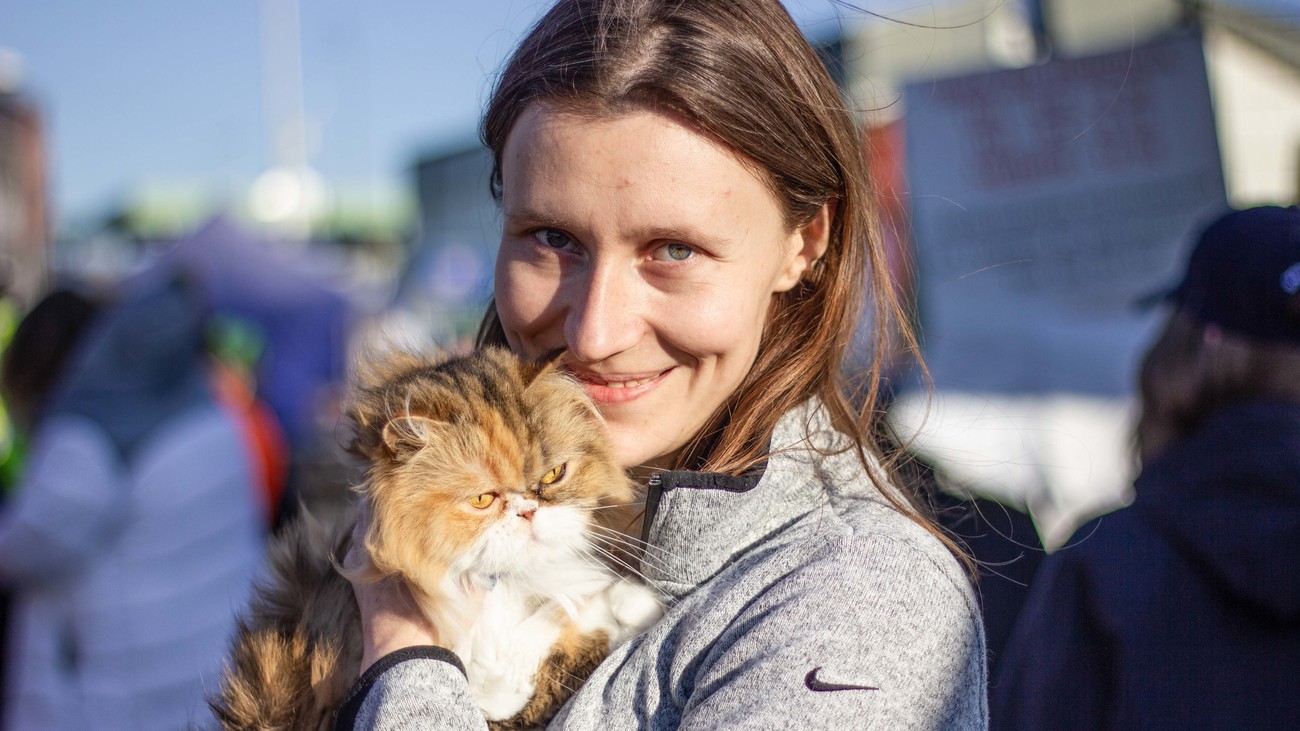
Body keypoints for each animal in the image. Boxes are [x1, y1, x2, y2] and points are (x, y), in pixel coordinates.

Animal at [213, 345, 665, 728]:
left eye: (553, 475)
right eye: (482, 499)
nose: (527, 510)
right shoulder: (483, 669)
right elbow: (546, 635)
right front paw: (634, 604)